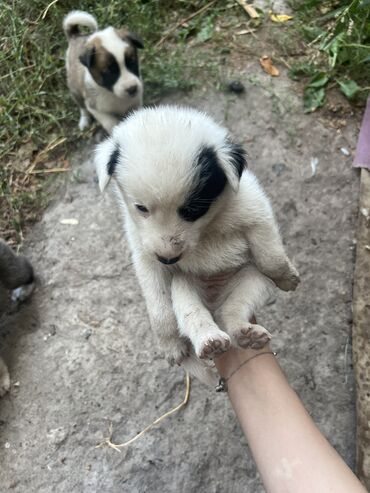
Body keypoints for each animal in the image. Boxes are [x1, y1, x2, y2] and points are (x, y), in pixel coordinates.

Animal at [94, 104, 300, 380]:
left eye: (192, 210)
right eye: (141, 208)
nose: (168, 259)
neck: (207, 230)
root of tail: (214, 300)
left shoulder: (256, 212)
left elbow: (271, 258)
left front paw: (287, 277)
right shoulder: (145, 255)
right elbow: (159, 310)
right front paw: (170, 345)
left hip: (251, 280)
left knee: (232, 311)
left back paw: (245, 334)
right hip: (184, 288)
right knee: (194, 316)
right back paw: (210, 340)